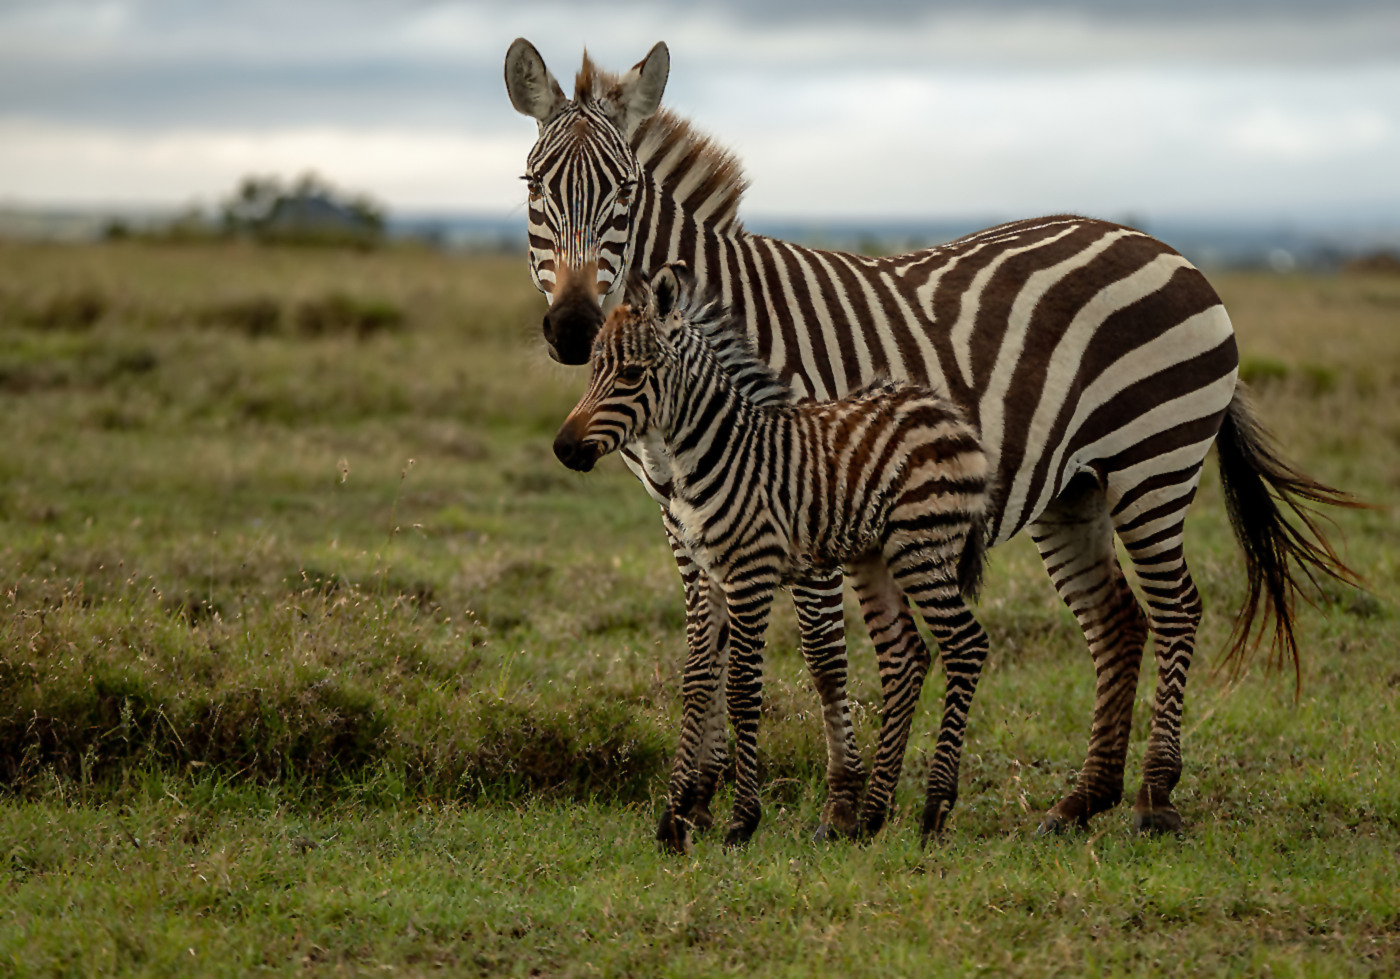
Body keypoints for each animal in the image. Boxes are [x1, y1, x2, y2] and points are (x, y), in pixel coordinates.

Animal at [551, 266, 991, 851]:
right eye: (594, 370)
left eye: (632, 375)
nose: (563, 449)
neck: (715, 450)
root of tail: (942, 408)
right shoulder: (708, 575)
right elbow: (697, 679)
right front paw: (674, 819)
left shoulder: (750, 574)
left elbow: (742, 688)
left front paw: (741, 820)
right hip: (875, 556)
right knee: (905, 656)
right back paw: (872, 816)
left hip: (920, 545)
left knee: (966, 644)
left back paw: (934, 810)